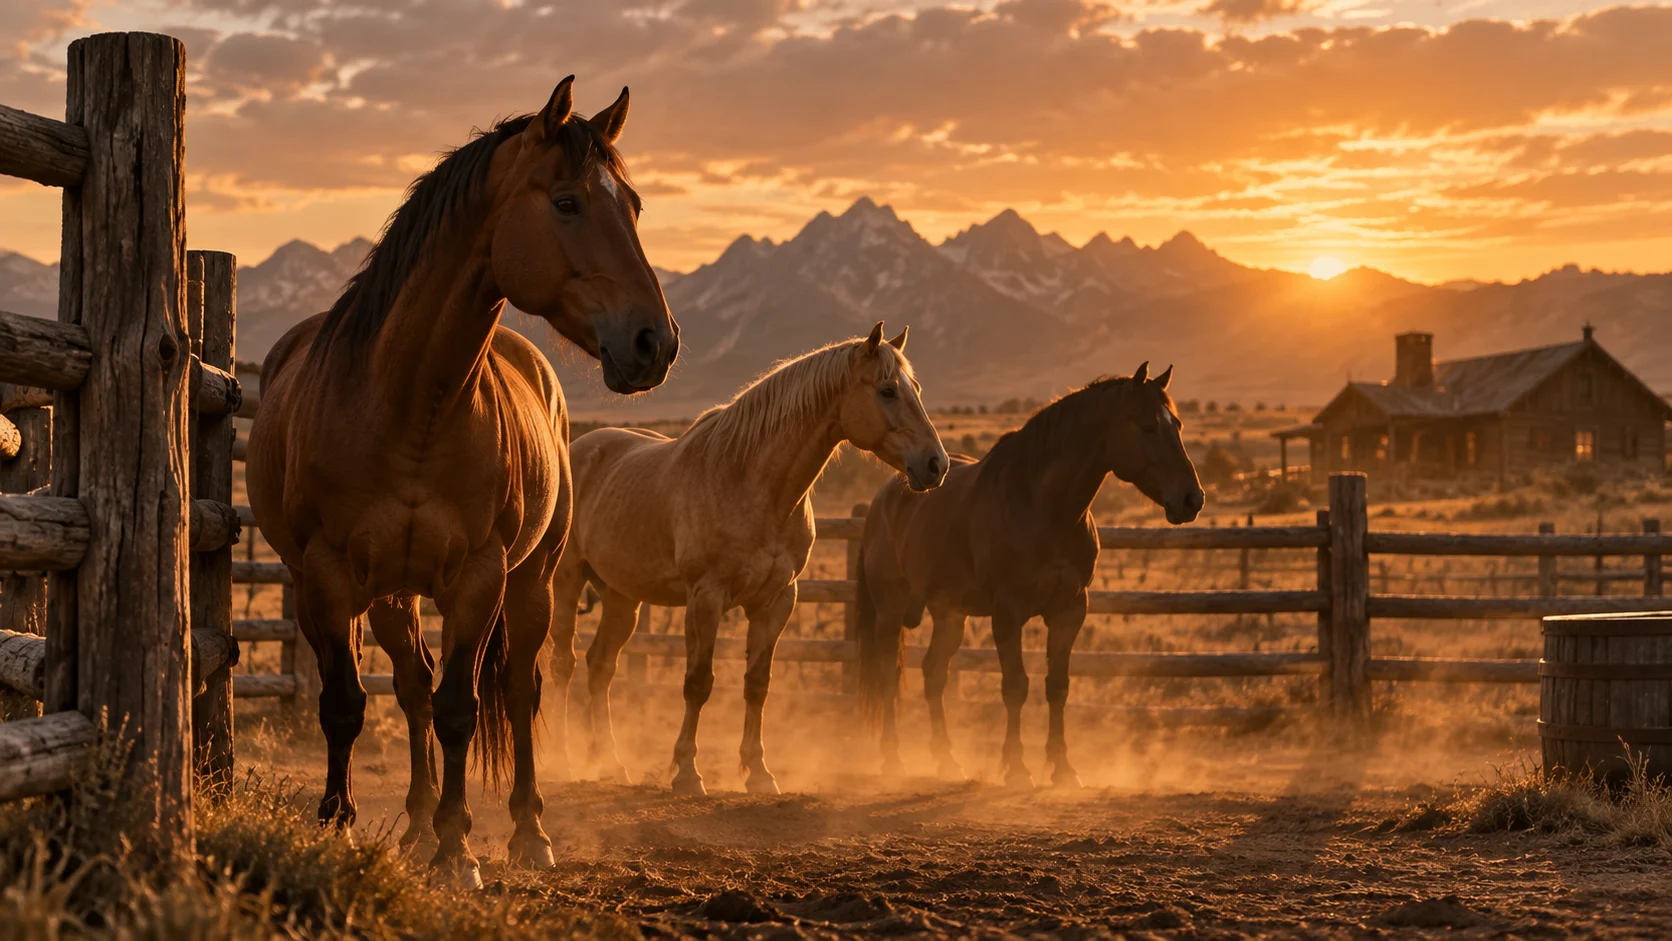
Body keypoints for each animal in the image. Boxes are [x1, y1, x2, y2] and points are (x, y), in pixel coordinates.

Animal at [245, 76, 678, 885]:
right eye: (566, 201)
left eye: (633, 206)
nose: (654, 343)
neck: (409, 405)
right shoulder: (327, 576)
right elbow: (349, 703)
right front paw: (343, 826)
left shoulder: (479, 576)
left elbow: (460, 706)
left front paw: (458, 849)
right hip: (389, 593)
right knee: (411, 686)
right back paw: (414, 826)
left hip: (533, 580)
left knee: (517, 690)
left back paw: (527, 831)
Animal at [551, 324, 949, 796]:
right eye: (887, 391)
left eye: (916, 389)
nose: (936, 464)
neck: (752, 482)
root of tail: (578, 448)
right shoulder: (706, 598)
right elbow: (698, 683)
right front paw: (687, 772)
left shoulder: (776, 601)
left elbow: (757, 685)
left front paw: (758, 771)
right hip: (567, 581)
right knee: (563, 663)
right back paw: (562, 759)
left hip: (621, 597)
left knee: (600, 667)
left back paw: (610, 763)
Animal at [854, 364, 1204, 788]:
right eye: (1149, 427)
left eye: (1178, 425)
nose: (1192, 499)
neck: (1045, 509)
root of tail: (883, 498)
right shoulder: (1008, 613)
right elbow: (1015, 686)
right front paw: (1017, 767)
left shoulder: (1070, 611)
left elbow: (1057, 686)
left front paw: (1063, 768)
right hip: (890, 611)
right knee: (888, 675)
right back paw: (893, 760)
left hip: (950, 614)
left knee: (934, 673)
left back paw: (948, 760)